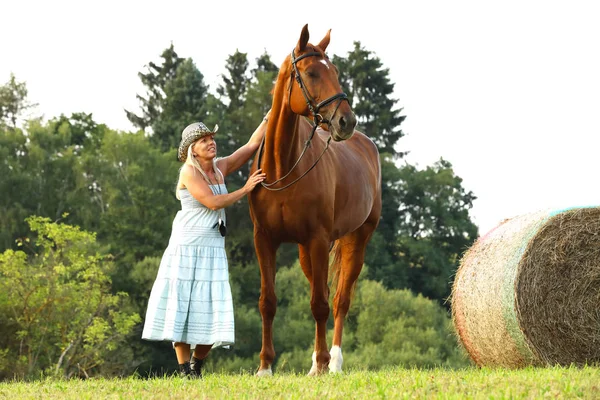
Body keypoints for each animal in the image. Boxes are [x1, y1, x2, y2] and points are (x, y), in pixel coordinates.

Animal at [247, 25, 380, 376]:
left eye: (335, 71)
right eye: (311, 72)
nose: (347, 121)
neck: (283, 168)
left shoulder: (319, 239)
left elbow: (320, 304)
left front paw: (321, 363)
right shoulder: (265, 240)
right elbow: (268, 302)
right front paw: (265, 365)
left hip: (356, 240)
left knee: (339, 300)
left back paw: (334, 361)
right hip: (306, 252)